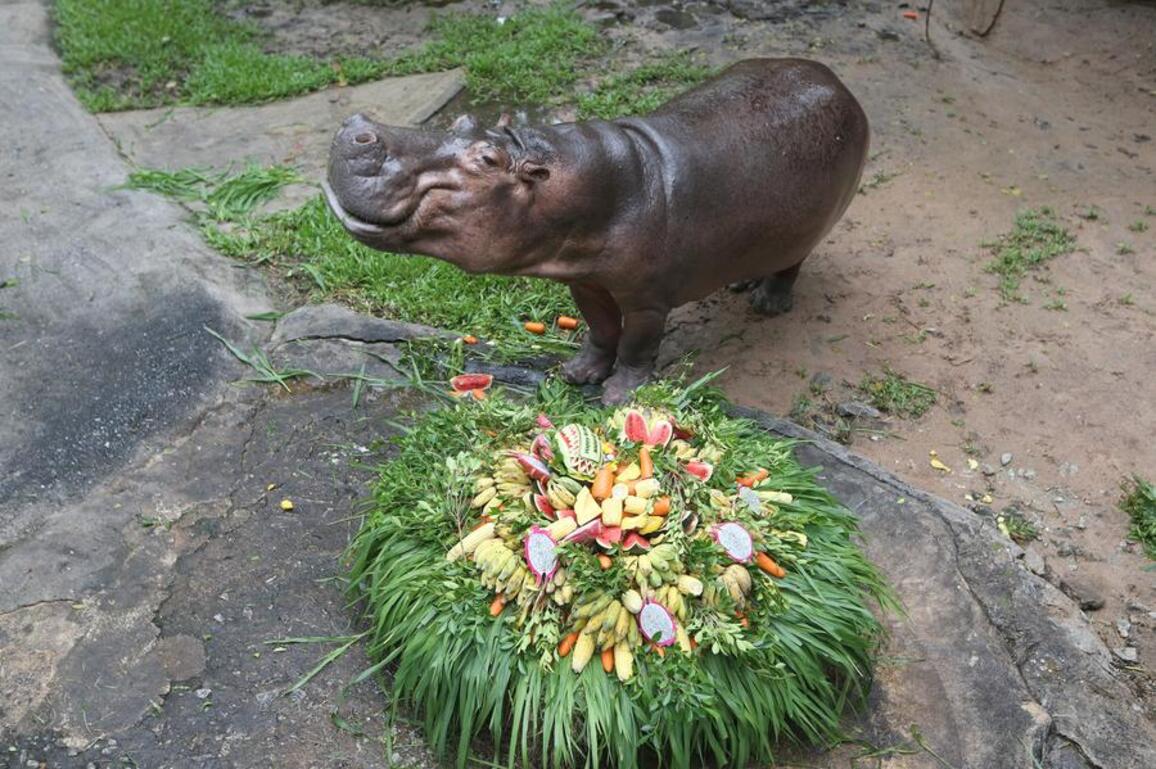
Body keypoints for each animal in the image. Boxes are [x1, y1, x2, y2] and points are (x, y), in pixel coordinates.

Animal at [323, 58, 868, 403]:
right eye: (461, 121)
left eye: (487, 160)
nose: (357, 125)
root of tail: (837, 80)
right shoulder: (584, 281)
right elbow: (601, 331)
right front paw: (578, 374)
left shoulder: (647, 299)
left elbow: (636, 346)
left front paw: (617, 395)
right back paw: (741, 283)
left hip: (810, 228)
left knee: (792, 264)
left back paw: (768, 303)